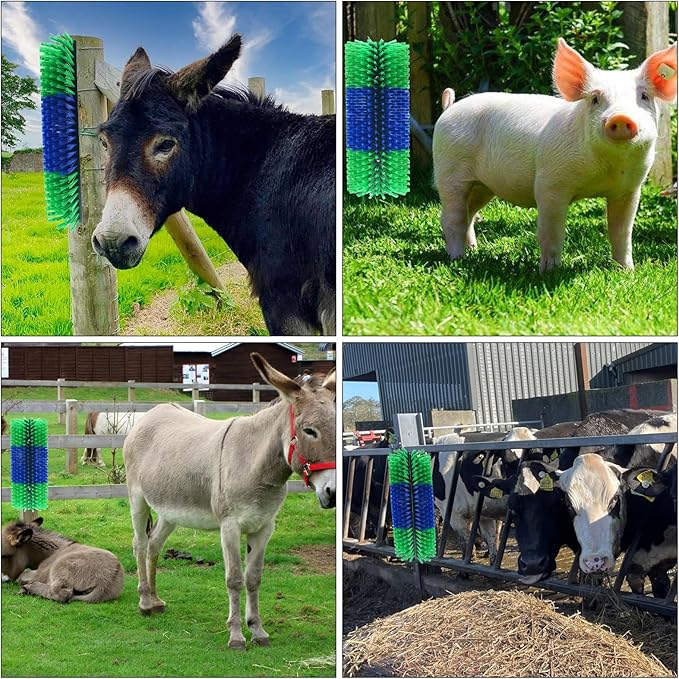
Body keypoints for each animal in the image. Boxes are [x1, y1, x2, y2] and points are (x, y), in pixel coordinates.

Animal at [123, 353, 336, 649]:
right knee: (140, 544)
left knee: (154, 544)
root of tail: (153, 412)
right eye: (310, 431)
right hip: (137, 498)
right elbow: (234, 579)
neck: (255, 464)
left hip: (170, 510)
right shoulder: (230, 526)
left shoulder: (264, 527)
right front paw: (236, 636)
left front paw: (258, 630)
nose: (333, 492)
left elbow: (254, 578)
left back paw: (155, 600)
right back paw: (144, 602)